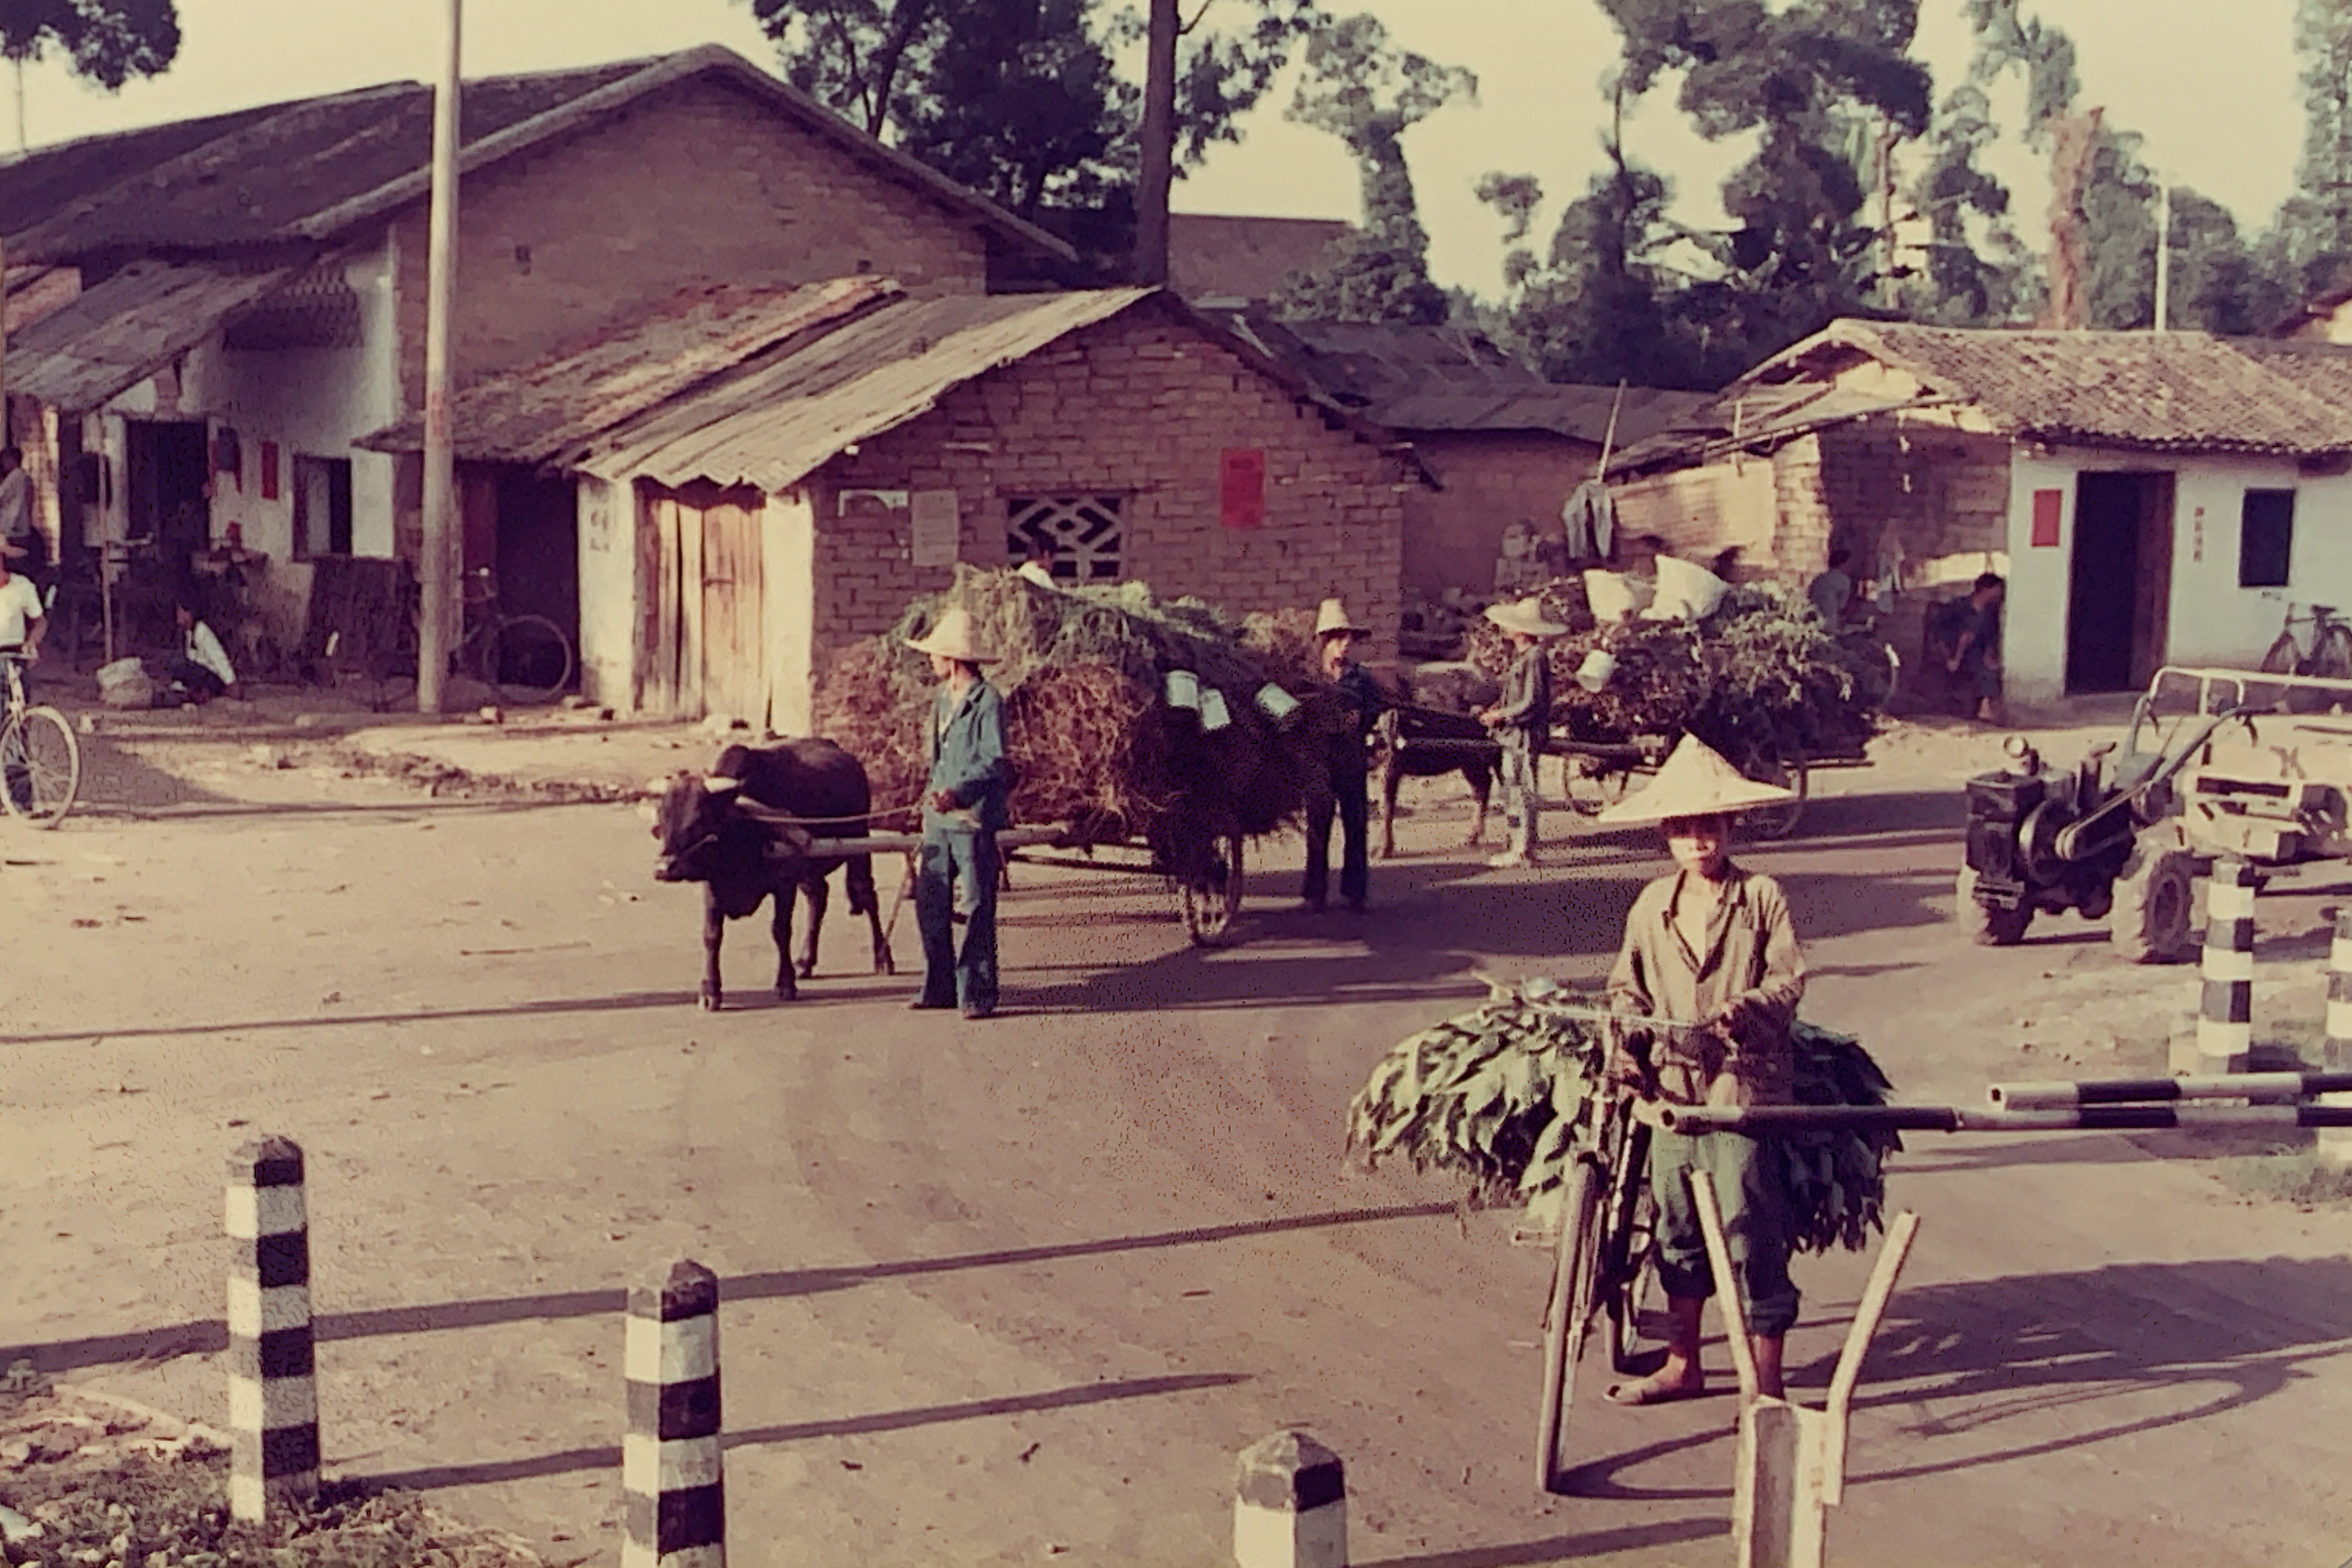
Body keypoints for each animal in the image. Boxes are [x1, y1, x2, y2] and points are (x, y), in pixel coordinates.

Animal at [649, 742, 894, 1011]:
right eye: (662, 819)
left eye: (699, 819)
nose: (664, 868)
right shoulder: (712, 885)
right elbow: (711, 935)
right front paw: (710, 990)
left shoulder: (784, 883)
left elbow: (780, 930)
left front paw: (785, 983)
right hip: (809, 870)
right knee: (818, 897)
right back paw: (805, 961)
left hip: (860, 841)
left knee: (866, 893)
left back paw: (883, 958)